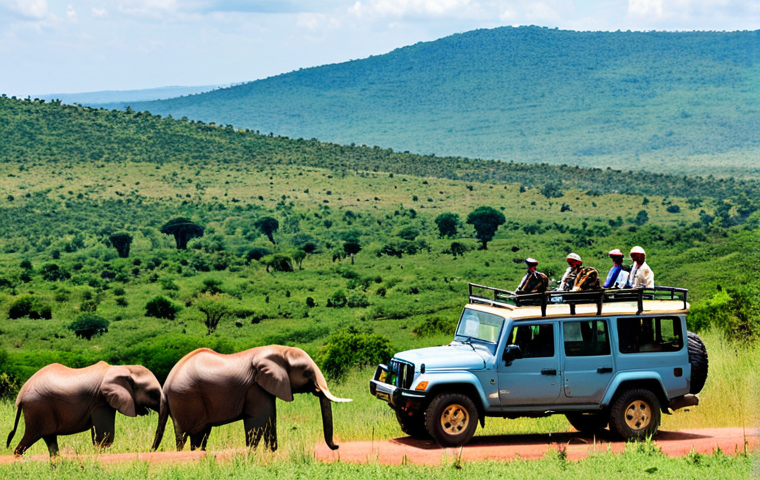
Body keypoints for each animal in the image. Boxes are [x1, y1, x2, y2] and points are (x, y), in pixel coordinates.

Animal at [6, 361, 163, 457]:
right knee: (30, 438)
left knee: (50, 440)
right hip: (38, 408)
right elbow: (105, 436)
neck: (121, 368)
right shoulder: (101, 401)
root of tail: (20, 395)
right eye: (153, 394)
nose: (150, 450)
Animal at [151, 345, 351, 452]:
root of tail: (166, 385)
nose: (337, 446)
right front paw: (256, 452)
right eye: (306, 372)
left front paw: (270, 452)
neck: (279, 350)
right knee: (184, 436)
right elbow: (259, 420)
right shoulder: (256, 388)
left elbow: (269, 419)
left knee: (200, 435)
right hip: (184, 400)